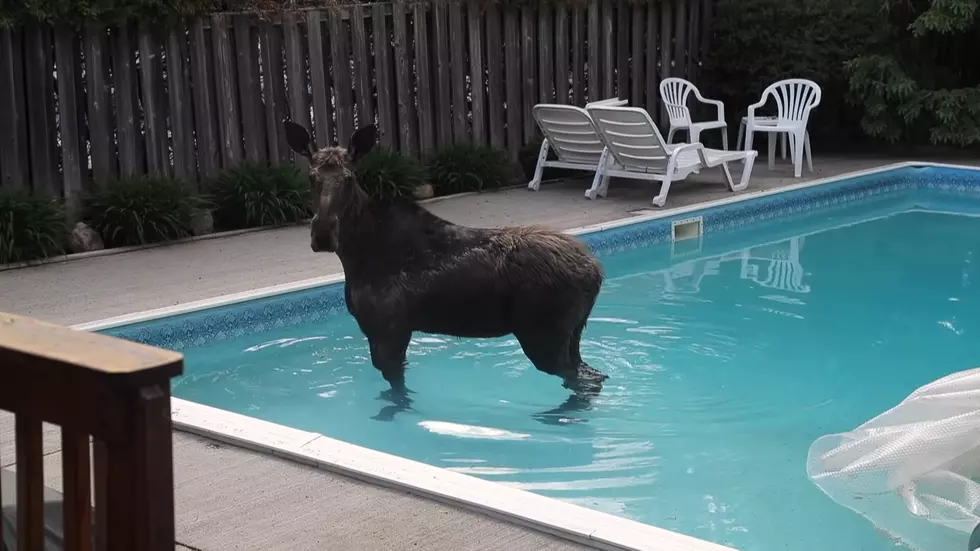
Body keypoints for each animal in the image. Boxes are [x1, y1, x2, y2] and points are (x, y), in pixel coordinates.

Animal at [280, 122, 608, 422]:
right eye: (311, 177)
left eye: (348, 179)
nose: (323, 234)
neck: (355, 255)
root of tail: (596, 271)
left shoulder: (387, 330)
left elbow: (397, 391)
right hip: (571, 335)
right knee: (593, 374)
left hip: (543, 336)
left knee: (583, 380)